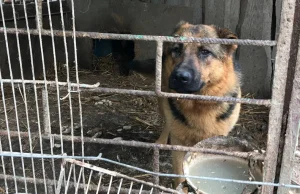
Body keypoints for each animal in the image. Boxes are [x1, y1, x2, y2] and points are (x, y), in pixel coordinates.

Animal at [122, 21, 241, 188]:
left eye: (205, 52)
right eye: (177, 49)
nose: (179, 76)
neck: (198, 104)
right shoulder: (178, 144)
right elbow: (179, 175)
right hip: (163, 104)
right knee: (167, 121)